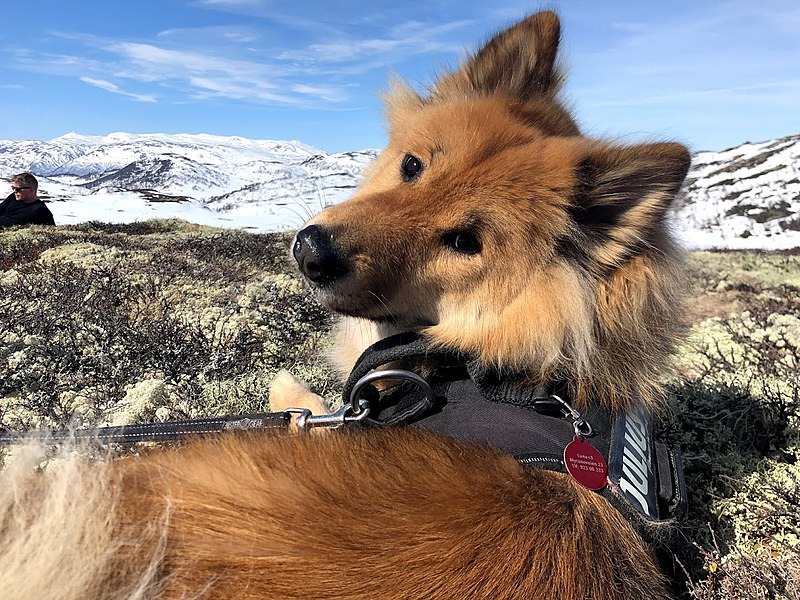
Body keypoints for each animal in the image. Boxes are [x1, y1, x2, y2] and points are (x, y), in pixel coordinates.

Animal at [0, 10, 688, 600]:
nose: (312, 251)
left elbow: (302, 406)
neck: (475, 365)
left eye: (464, 242)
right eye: (411, 165)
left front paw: (285, 387)